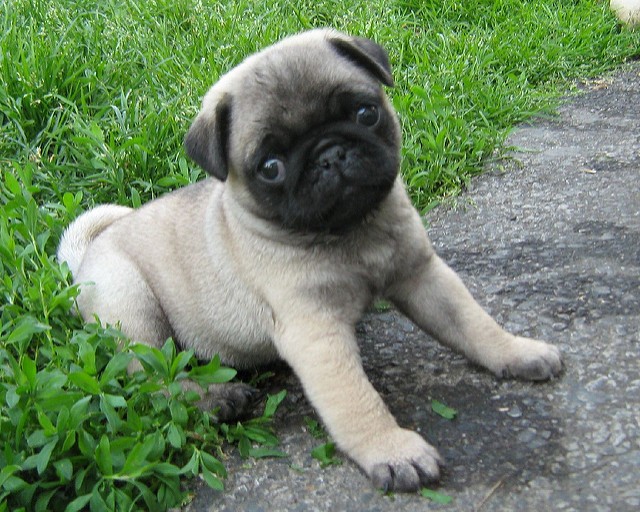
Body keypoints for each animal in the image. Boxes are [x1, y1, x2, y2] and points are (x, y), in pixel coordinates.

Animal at [58, 29, 560, 492]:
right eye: (270, 167)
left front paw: (516, 351)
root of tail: (86, 257)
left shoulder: (422, 275)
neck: (351, 233)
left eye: (365, 113)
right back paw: (215, 399)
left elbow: (473, 324)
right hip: (132, 305)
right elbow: (356, 400)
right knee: (148, 375)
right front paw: (392, 449)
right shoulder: (315, 332)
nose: (330, 153)